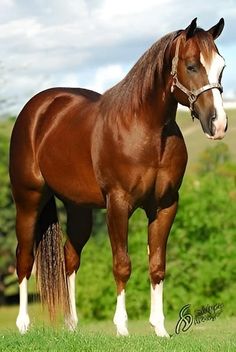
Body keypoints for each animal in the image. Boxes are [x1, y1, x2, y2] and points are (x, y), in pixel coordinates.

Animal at [9, 17, 227, 336]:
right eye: (191, 66)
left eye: (221, 66)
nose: (218, 124)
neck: (146, 129)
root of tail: (36, 109)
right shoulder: (118, 204)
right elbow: (122, 264)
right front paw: (122, 328)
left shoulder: (165, 205)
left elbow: (157, 265)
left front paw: (160, 329)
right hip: (28, 201)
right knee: (25, 257)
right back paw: (23, 324)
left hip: (79, 209)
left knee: (69, 258)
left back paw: (72, 325)